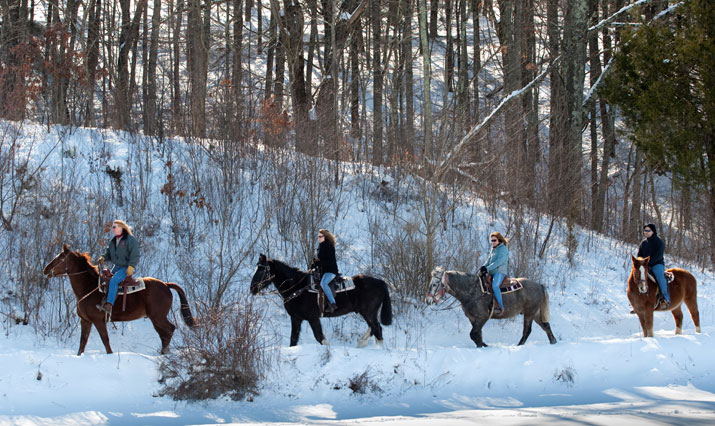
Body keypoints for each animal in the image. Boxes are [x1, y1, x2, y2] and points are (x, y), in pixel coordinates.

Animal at [44, 245, 196, 354]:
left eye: (59, 258)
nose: (45, 270)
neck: (89, 287)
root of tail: (165, 284)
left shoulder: (98, 321)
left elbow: (105, 341)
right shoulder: (85, 321)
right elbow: (83, 343)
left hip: (157, 317)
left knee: (169, 330)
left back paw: (164, 353)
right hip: (156, 318)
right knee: (164, 334)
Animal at [250, 253, 398, 346]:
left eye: (262, 270)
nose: (252, 289)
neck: (298, 287)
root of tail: (380, 282)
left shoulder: (313, 318)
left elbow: (319, 337)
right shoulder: (296, 319)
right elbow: (293, 340)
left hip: (368, 312)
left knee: (377, 328)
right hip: (368, 313)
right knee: (375, 329)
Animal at [426, 268, 560, 348]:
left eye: (434, 284)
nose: (428, 300)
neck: (472, 291)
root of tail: (539, 285)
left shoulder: (483, 317)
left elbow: (473, 334)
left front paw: (485, 346)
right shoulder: (473, 319)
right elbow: (477, 335)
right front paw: (482, 346)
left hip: (529, 313)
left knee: (527, 330)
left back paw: (519, 345)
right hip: (536, 313)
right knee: (546, 326)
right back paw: (553, 342)